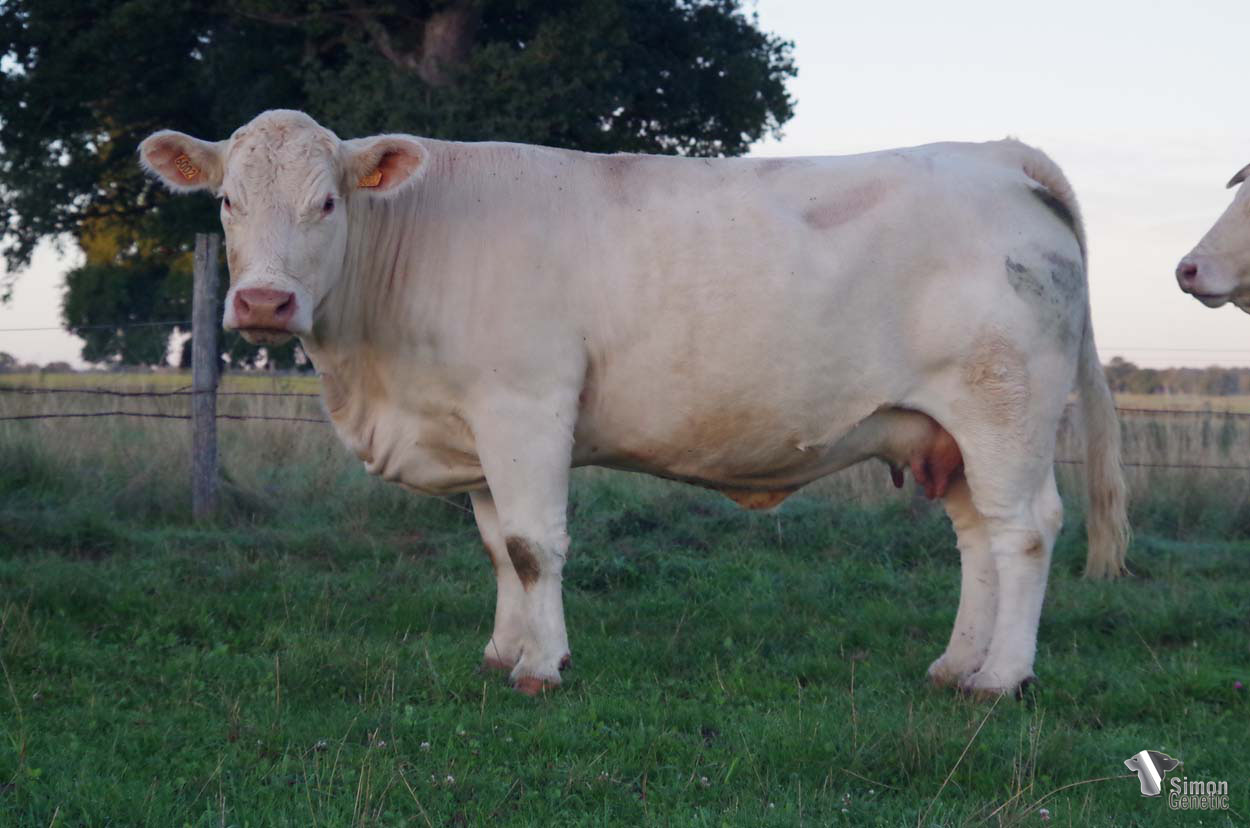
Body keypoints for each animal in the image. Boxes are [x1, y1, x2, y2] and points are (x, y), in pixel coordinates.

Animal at [140, 109, 1129, 698]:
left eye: (327, 202)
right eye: (225, 202)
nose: (264, 303)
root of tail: (997, 156)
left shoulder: (527, 405)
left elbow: (535, 546)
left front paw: (542, 666)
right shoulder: (478, 427)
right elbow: (499, 548)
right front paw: (503, 652)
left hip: (1005, 407)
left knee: (1026, 530)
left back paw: (1001, 679)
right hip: (946, 431)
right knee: (978, 542)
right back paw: (957, 663)